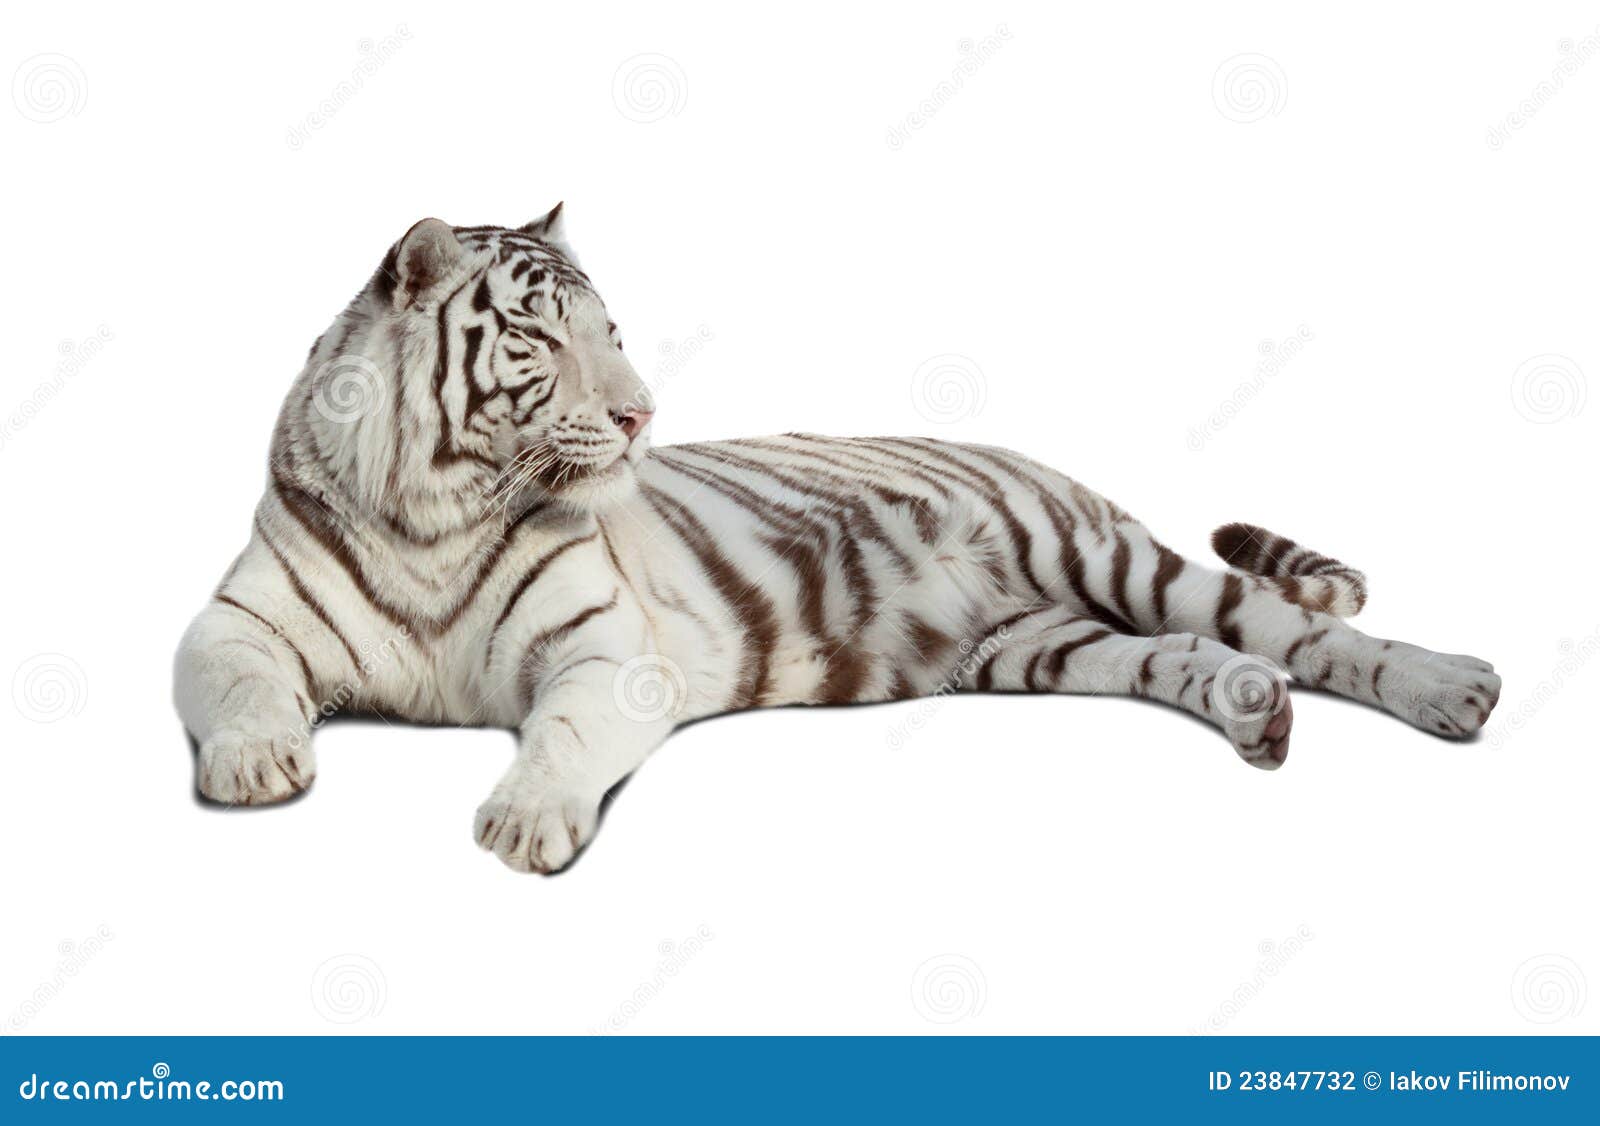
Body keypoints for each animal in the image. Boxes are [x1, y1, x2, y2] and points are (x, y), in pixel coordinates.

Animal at [174, 207, 1501, 874]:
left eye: (613, 332)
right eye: (543, 338)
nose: (642, 411)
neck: (435, 511)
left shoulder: (605, 653)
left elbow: (560, 735)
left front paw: (526, 820)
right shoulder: (232, 622)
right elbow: (239, 685)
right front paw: (254, 763)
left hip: (1109, 558)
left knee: (1299, 632)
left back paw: (1454, 688)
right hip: (1041, 644)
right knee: (1189, 656)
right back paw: (1254, 714)